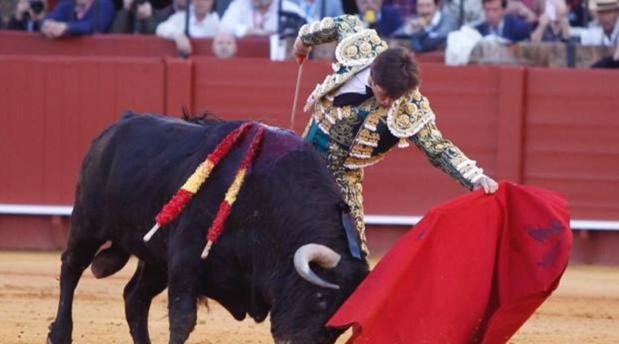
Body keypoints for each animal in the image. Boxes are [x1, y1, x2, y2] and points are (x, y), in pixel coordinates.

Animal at [48, 113, 370, 344]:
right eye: (320, 299)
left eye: (338, 326)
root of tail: (115, 128)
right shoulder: (186, 261)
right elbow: (182, 320)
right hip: (88, 223)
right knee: (71, 268)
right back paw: (59, 334)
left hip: (156, 259)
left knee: (134, 298)